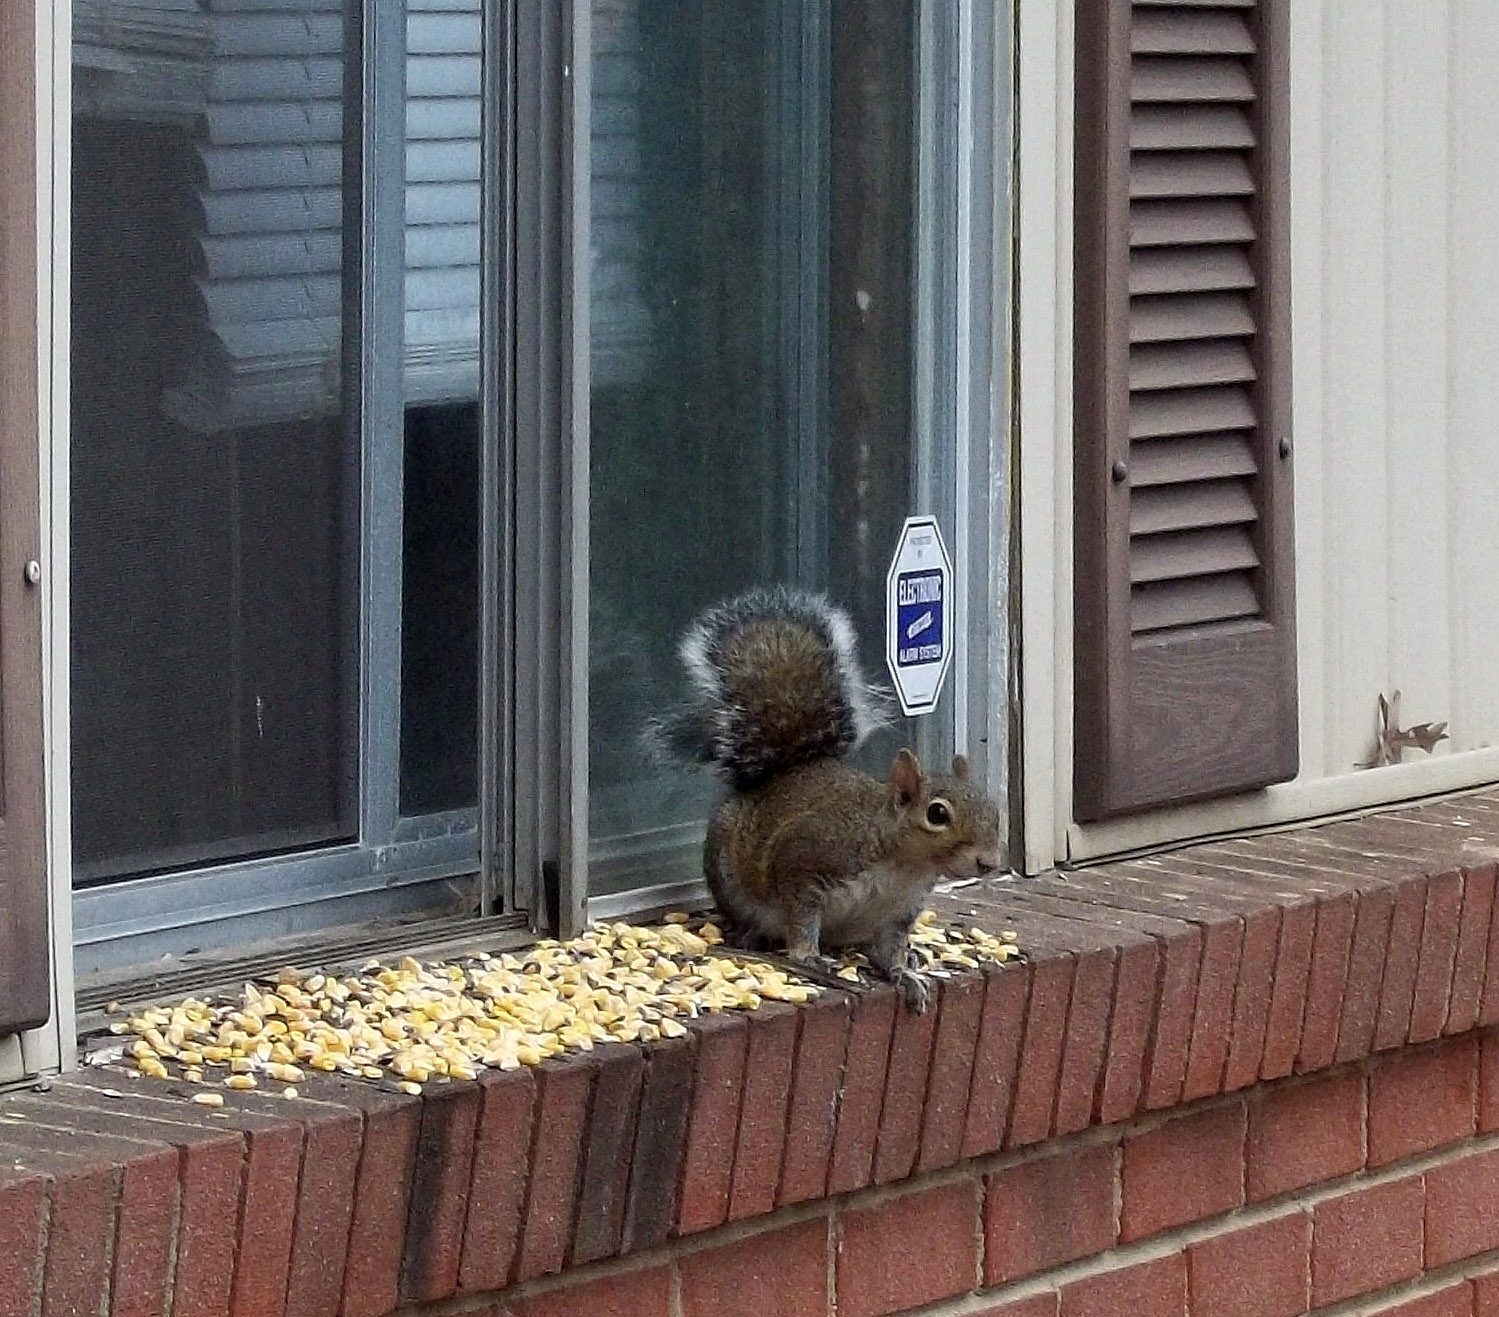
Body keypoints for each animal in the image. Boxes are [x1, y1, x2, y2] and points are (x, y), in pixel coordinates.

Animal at [648, 585, 1002, 1011]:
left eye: (993, 810)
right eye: (937, 814)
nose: (989, 862)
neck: (903, 865)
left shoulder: (898, 912)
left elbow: (890, 949)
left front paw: (904, 973)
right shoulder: (808, 861)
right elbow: (801, 916)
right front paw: (807, 956)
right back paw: (752, 935)